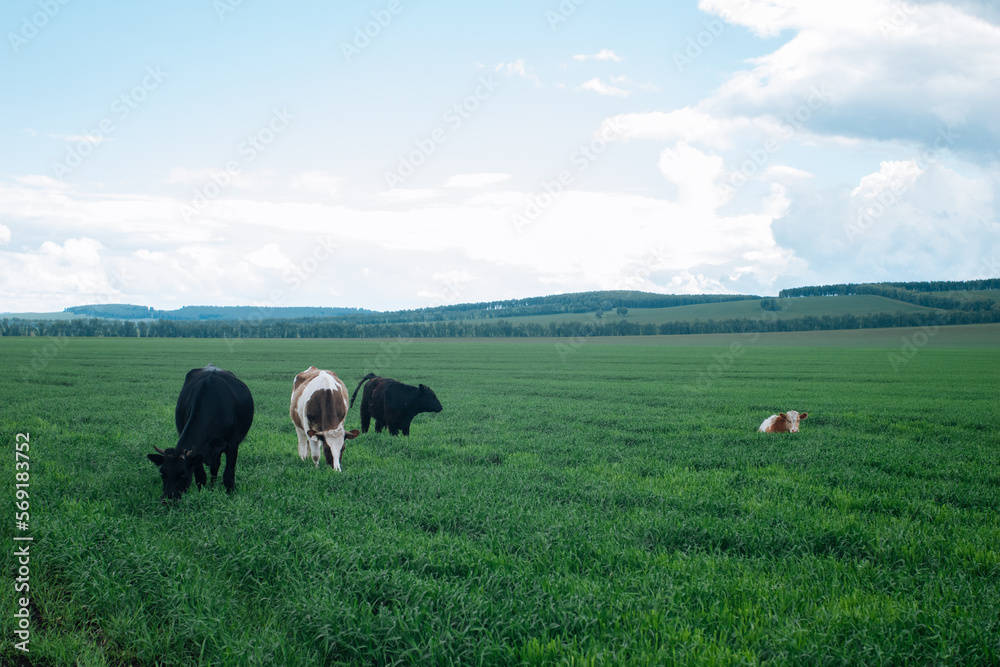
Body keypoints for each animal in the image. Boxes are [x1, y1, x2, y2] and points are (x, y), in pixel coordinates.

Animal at [147, 364, 254, 500]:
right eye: (162, 473)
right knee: (214, 467)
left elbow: (228, 476)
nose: (167, 498)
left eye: (183, 474)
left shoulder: (232, 445)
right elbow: (201, 477)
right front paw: (201, 495)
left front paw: (230, 495)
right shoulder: (198, 454)